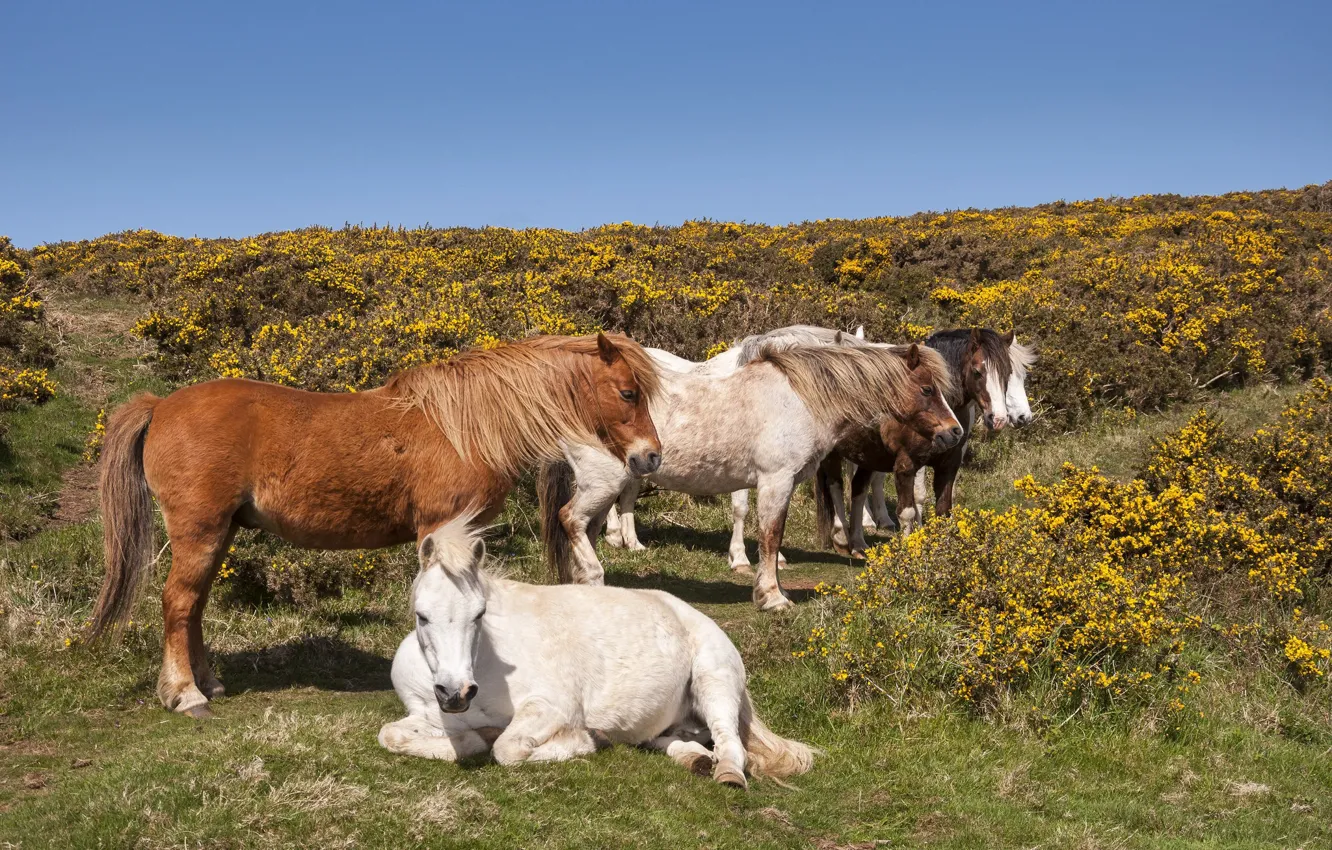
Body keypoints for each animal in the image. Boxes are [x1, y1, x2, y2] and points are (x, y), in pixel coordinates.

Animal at [89, 333, 663, 717]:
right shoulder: (444, 532)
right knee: (179, 602)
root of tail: (161, 405)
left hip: (220, 532)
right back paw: (184, 693)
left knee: (195, 606)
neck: (464, 427)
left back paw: (208, 683)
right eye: (628, 392)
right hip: (201, 530)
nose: (651, 456)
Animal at [378, 516, 816, 789]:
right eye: (421, 615)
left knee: (730, 743)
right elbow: (392, 735)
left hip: (715, 681)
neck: (485, 661)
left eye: (479, 613)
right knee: (670, 739)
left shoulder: (551, 707)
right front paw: (473, 739)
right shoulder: (427, 715)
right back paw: (693, 759)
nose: (456, 693)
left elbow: (507, 748)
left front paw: (586, 741)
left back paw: (725, 772)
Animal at [538, 342, 959, 611]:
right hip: (603, 483)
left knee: (585, 529)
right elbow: (771, 538)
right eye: (927, 388)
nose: (954, 433)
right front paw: (773, 597)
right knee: (570, 519)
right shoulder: (776, 481)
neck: (799, 398)